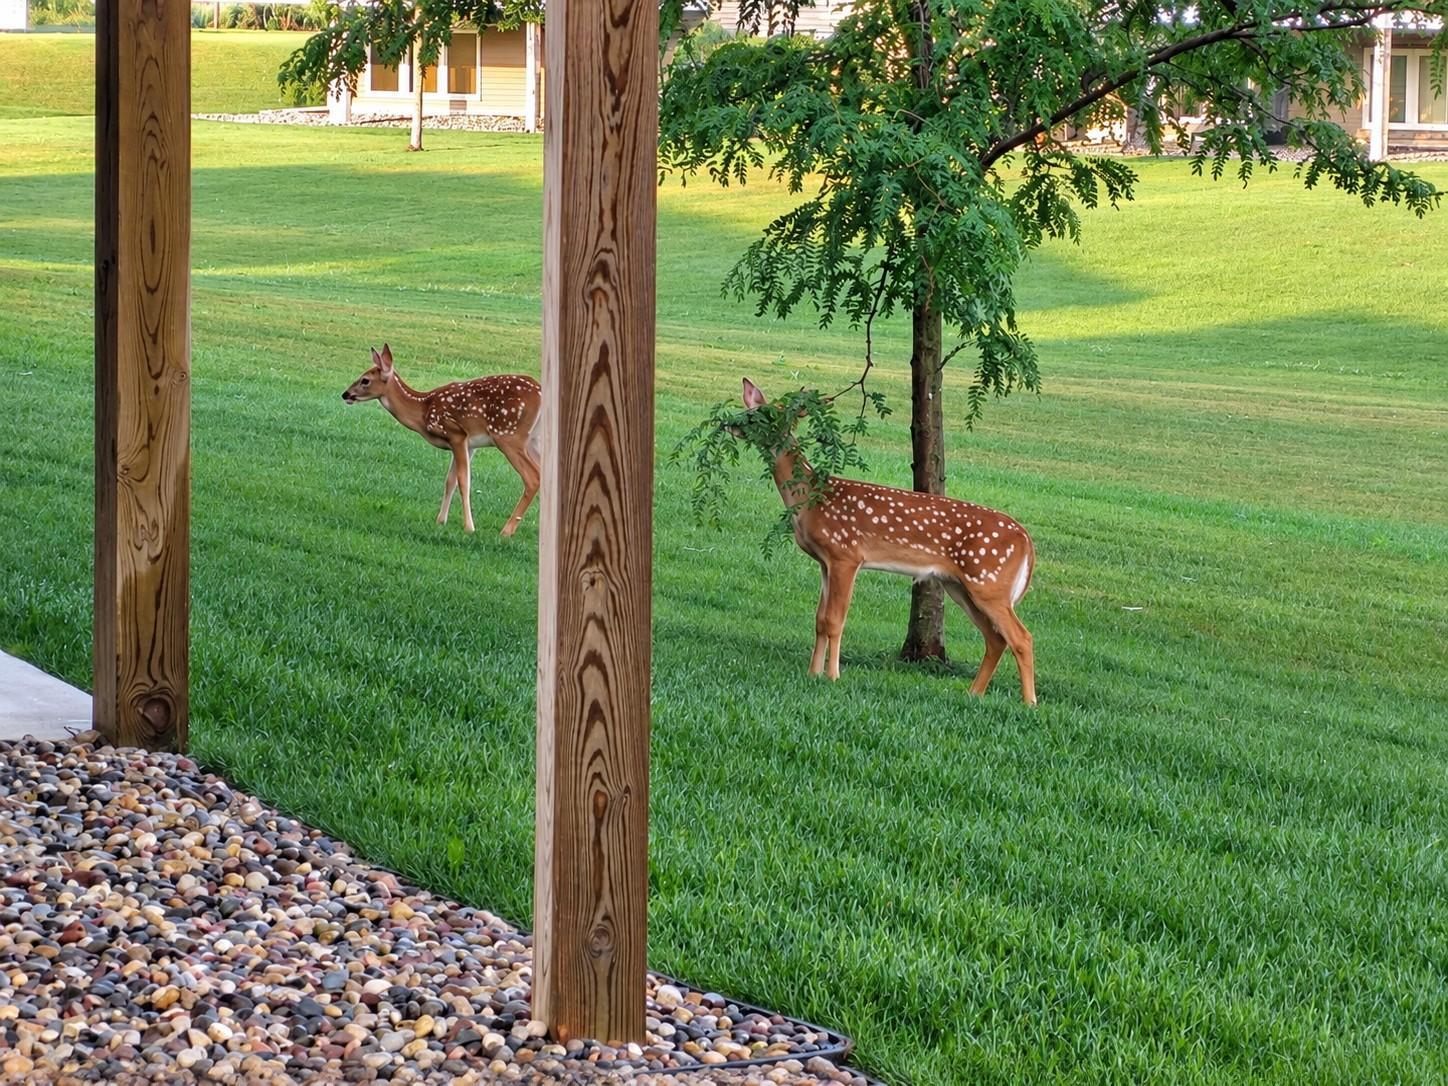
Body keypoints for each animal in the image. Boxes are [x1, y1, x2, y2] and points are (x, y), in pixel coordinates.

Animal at [342, 344, 542, 536]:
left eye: (365, 380)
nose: (345, 394)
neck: (422, 410)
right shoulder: (469, 445)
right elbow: (450, 481)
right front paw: (440, 521)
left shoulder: (456, 434)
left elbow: (463, 481)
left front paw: (469, 528)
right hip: (532, 440)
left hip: (509, 435)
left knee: (533, 477)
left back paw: (506, 531)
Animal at [739, 378, 1037, 704]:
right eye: (752, 411)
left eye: (768, 415)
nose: (734, 424)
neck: (811, 500)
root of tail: (1026, 540)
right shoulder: (824, 562)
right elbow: (819, 620)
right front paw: (813, 673)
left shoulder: (846, 554)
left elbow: (834, 620)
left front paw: (832, 676)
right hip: (960, 585)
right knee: (995, 638)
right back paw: (974, 693)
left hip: (989, 582)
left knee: (1022, 637)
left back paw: (1029, 703)